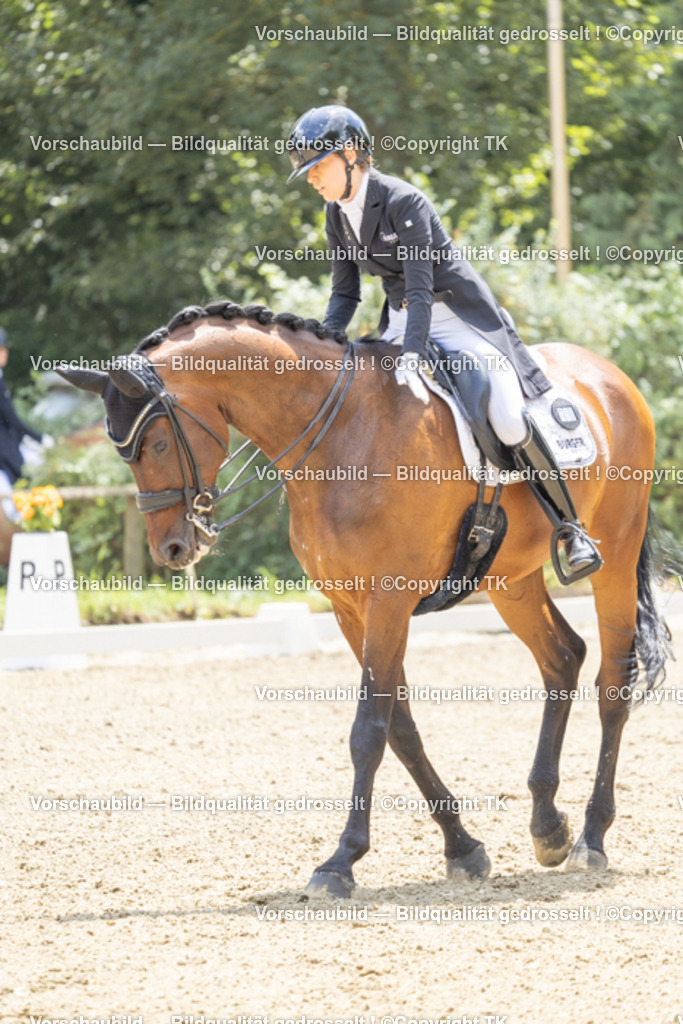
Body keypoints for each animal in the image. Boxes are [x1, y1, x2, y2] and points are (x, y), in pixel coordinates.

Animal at [58, 299, 673, 898]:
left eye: (158, 442)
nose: (173, 549)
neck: (341, 434)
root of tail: (609, 372)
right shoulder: (349, 608)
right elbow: (399, 727)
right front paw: (462, 847)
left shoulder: (388, 601)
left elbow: (368, 730)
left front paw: (340, 863)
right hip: (509, 578)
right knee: (562, 657)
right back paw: (548, 827)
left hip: (616, 552)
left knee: (612, 682)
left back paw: (592, 837)